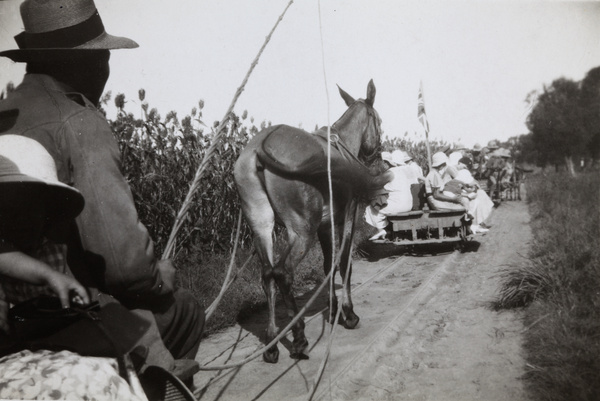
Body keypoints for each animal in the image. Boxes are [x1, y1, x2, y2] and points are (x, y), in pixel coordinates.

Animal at [234, 79, 384, 362]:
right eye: (379, 121)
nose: (379, 157)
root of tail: (259, 149)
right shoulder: (347, 218)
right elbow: (343, 263)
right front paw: (348, 313)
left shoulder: (326, 224)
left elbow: (327, 265)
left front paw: (333, 308)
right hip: (302, 229)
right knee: (283, 272)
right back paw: (299, 337)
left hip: (261, 225)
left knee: (267, 274)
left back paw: (272, 342)